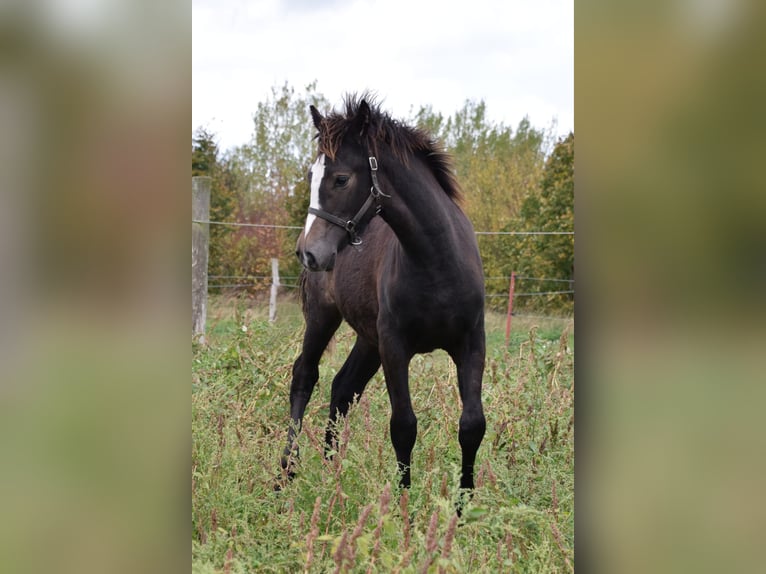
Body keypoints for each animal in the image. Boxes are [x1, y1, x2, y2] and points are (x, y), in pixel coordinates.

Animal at [280, 94, 486, 500]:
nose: (308, 253)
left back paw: (331, 472)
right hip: (325, 318)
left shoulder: (472, 343)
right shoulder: (395, 345)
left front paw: (465, 505)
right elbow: (403, 425)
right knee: (305, 375)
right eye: (311, 176)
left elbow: (472, 424)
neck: (437, 263)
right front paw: (402, 503)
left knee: (342, 388)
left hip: (367, 338)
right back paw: (288, 469)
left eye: (341, 178)